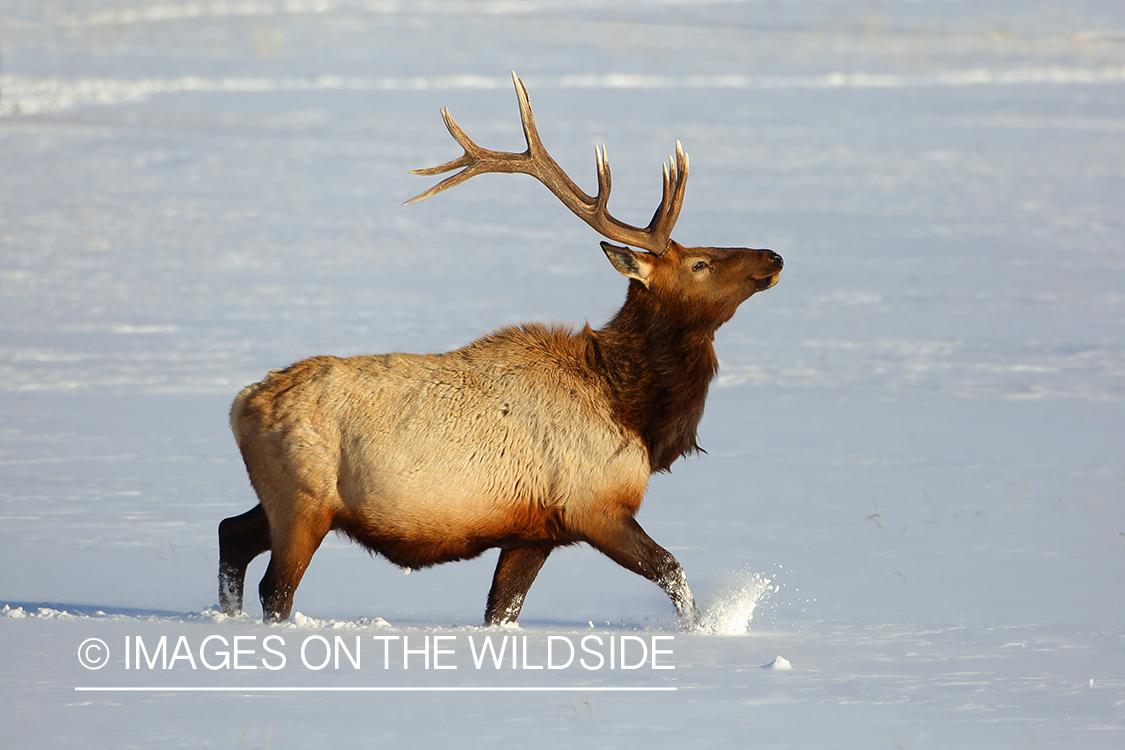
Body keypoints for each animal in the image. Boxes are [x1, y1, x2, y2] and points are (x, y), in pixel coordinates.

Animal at [217, 74, 783, 629]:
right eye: (700, 264)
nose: (774, 256)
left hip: (286, 501)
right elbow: (673, 571)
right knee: (275, 588)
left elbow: (501, 610)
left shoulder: (535, 531)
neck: (635, 413)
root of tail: (241, 405)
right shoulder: (593, 507)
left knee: (230, 532)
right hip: (302, 501)